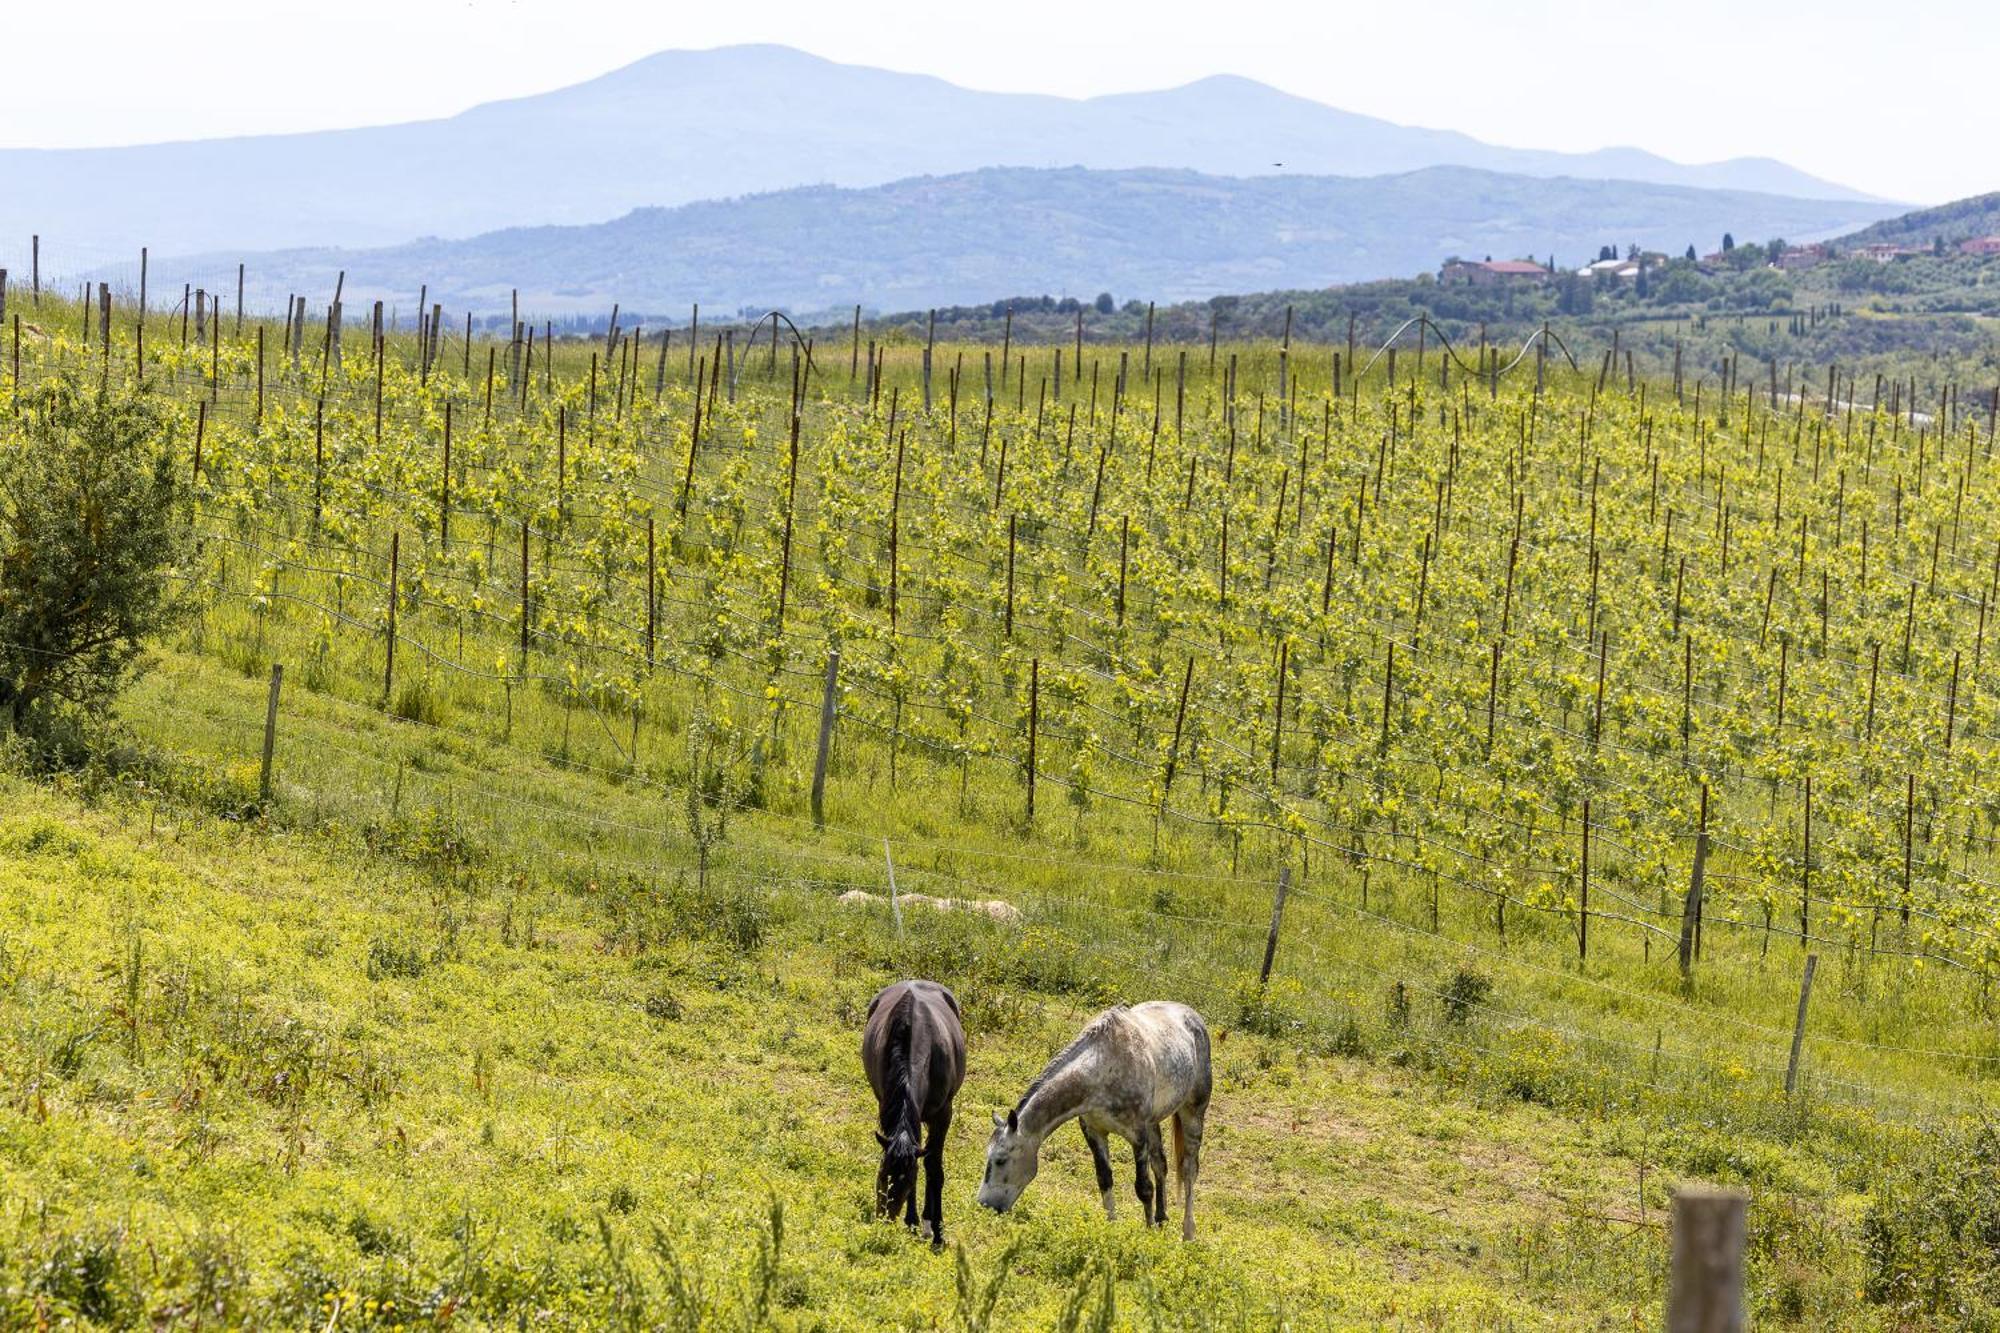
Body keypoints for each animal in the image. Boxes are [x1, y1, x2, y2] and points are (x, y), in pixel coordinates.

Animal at [856, 976, 964, 1248]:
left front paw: (937, 1231)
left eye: (906, 1182)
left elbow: (933, 1168)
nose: (884, 1219)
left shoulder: (943, 1115)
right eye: (882, 1175)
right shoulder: (886, 1105)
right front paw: (912, 1222)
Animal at [976, 996, 1208, 1232]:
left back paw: (1188, 1231)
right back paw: (1161, 1218)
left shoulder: (1138, 1136)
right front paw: (1111, 1227)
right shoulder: (1094, 1131)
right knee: (1160, 1164)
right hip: (1154, 1122)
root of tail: (1192, 1016)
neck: (1103, 1069)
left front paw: (1148, 1232)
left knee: (1189, 1169)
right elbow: (1104, 1179)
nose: (984, 1205)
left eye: (1001, 1160)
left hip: (1193, 1112)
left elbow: (1144, 1188)